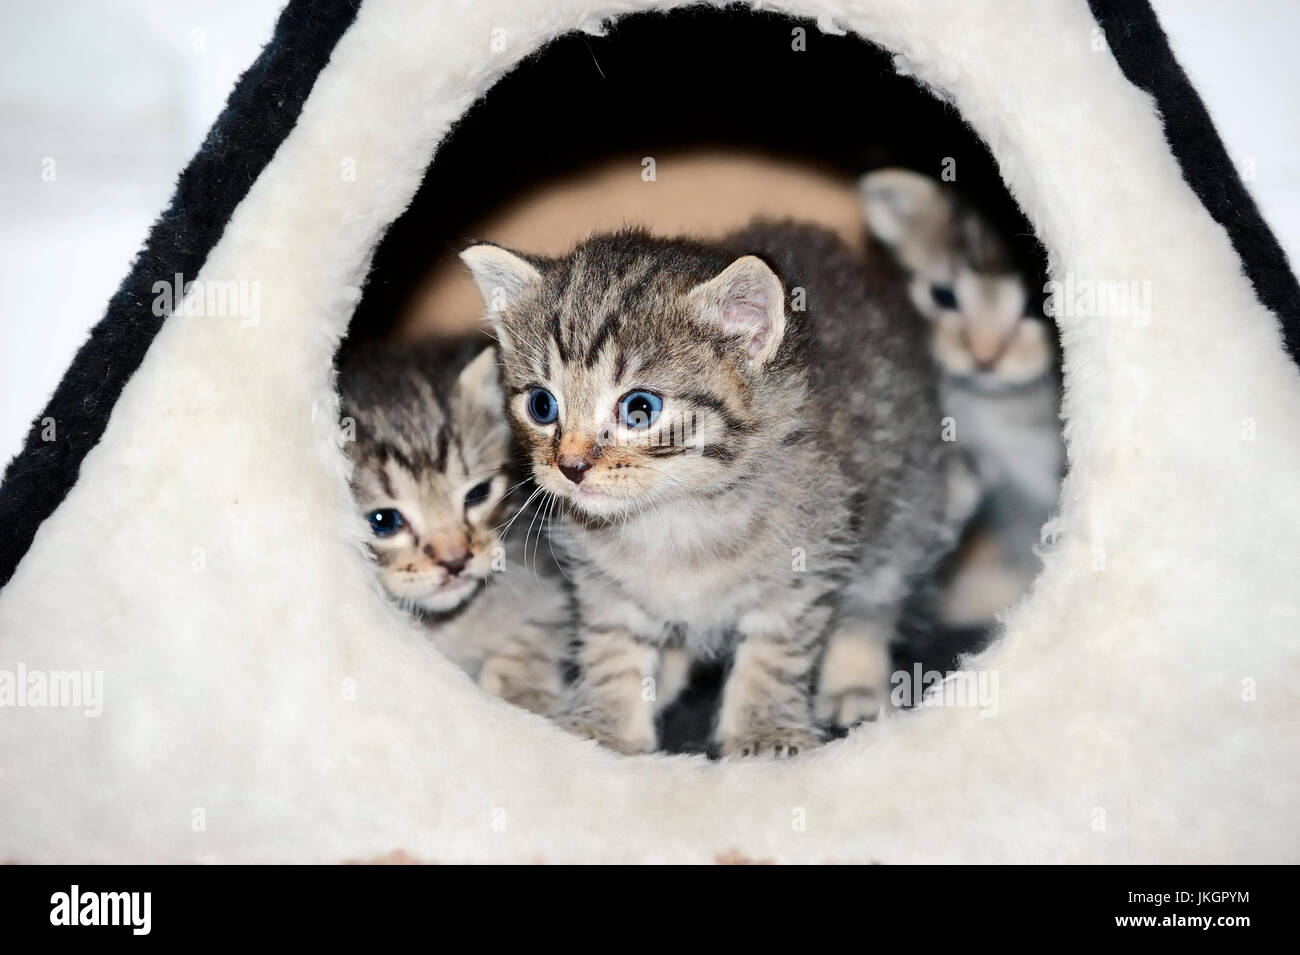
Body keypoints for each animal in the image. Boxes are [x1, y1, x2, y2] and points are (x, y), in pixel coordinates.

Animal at [462, 222, 972, 753]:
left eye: (639, 409)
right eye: (542, 405)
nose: (570, 466)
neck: (675, 517)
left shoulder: (804, 567)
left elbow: (774, 654)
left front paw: (764, 733)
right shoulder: (605, 587)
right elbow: (613, 648)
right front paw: (607, 728)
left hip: (907, 514)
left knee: (876, 600)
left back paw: (855, 682)